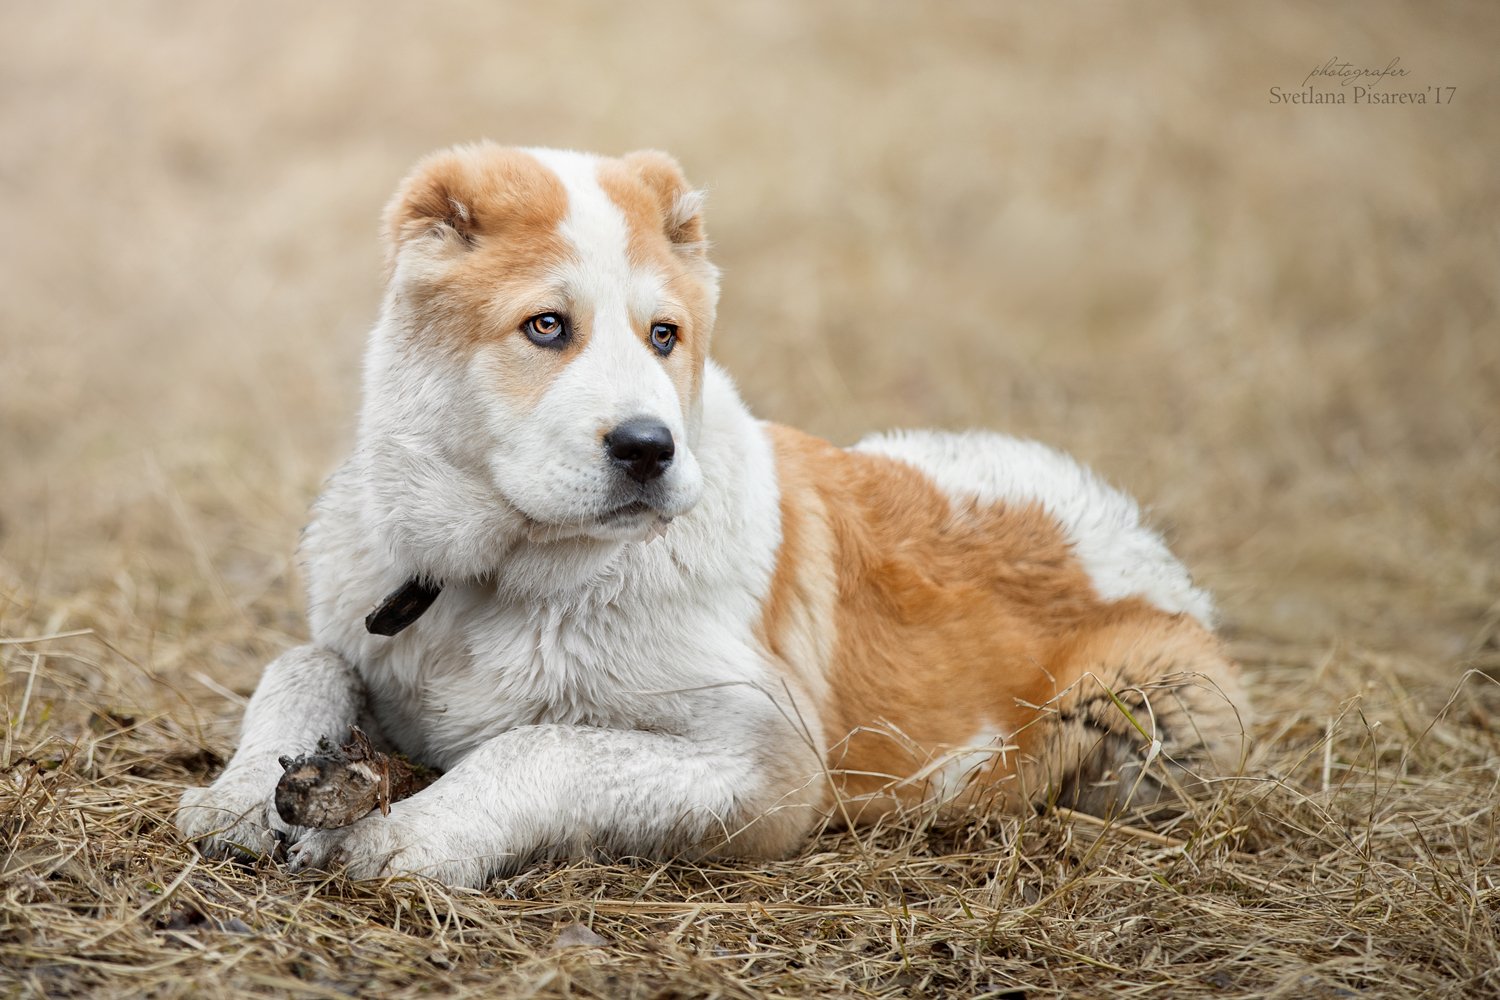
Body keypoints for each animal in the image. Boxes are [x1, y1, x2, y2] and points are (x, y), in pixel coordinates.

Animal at [177, 144, 1251, 887]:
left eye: (666, 336)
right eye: (547, 327)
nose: (650, 449)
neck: (504, 577)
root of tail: (1132, 530)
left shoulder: (769, 766)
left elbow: (543, 744)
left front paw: (407, 836)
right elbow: (303, 662)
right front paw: (244, 797)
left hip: (1162, 722)